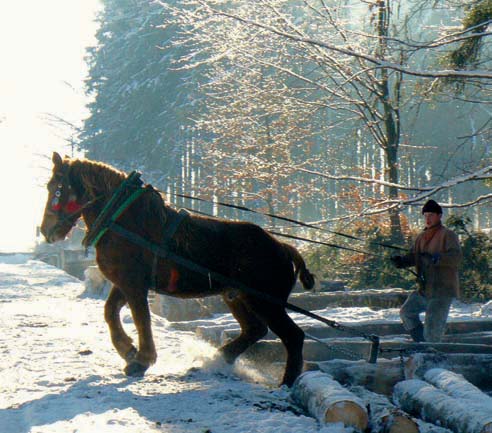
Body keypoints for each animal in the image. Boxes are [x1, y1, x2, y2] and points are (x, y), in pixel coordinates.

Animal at [41, 153, 316, 384]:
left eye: (57, 189)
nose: (46, 230)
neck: (121, 220)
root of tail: (282, 247)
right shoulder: (124, 283)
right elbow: (110, 313)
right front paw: (128, 350)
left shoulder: (134, 285)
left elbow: (141, 319)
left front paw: (141, 360)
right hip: (238, 297)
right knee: (254, 329)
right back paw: (217, 358)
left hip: (266, 302)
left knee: (293, 336)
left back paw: (286, 383)